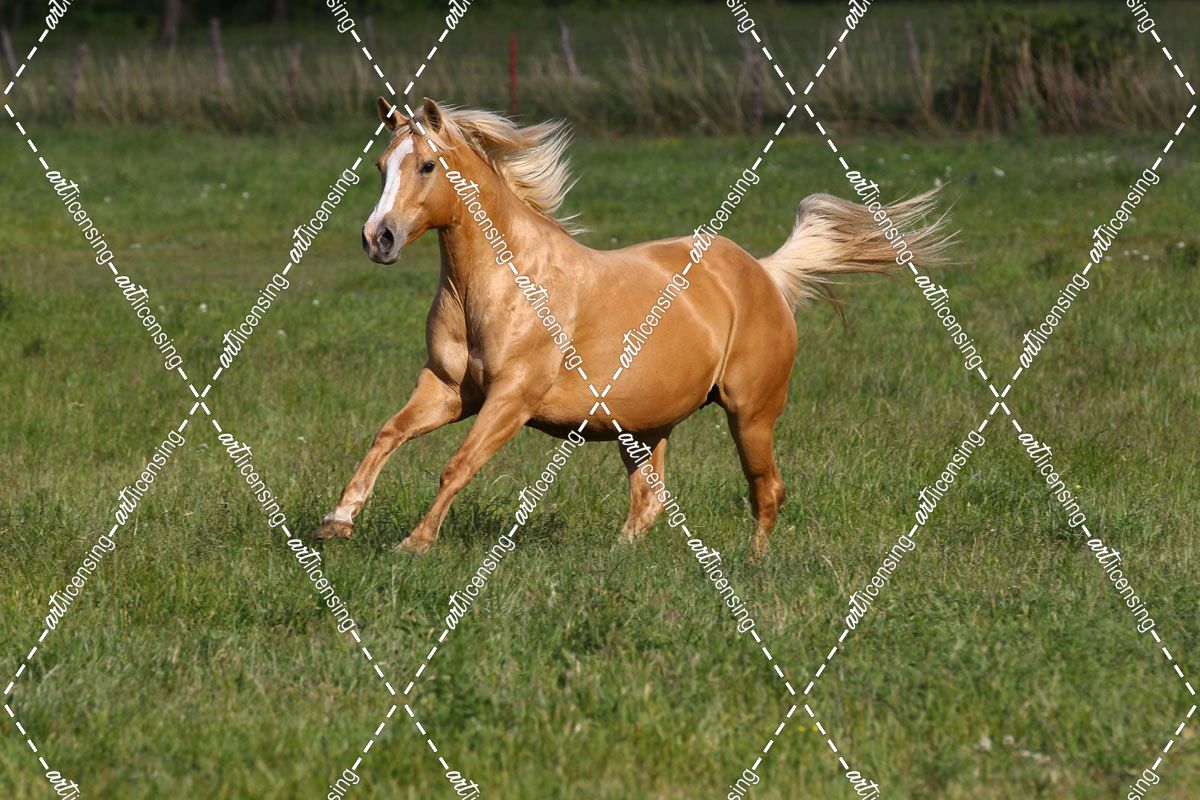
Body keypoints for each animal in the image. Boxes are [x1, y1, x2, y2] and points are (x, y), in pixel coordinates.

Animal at [312, 97, 948, 555]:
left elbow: (457, 465)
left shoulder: (511, 398)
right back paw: (617, 557)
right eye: (379, 167)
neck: (500, 284)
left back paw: (754, 563)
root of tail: (764, 274)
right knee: (650, 501)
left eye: (426, 165)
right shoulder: (448, 390)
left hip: (751, 413)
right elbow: (387, 435)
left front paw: (414, 543)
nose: (378, 238)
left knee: (766, 489)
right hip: (641, 428)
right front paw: (336, 522)